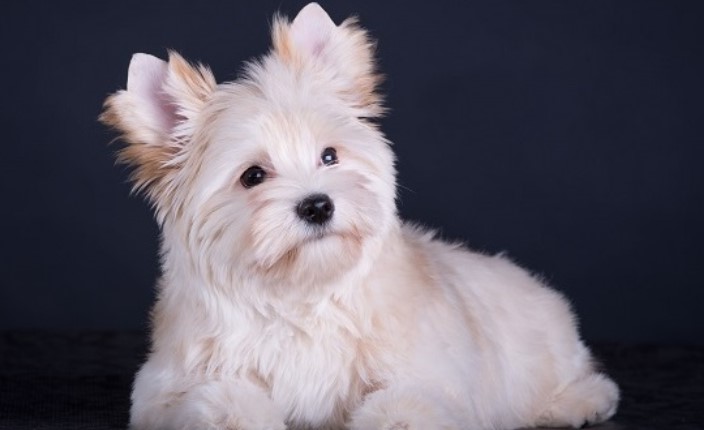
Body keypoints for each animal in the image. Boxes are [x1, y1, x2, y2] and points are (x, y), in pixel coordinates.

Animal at [102, 3, 620, 430]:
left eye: (329, 156)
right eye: (253, 176)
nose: (317, 204)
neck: (303, 297)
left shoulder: (431, 378)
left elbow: (407, 407)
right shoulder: (170, 386)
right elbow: (216, 401)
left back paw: (579, 402)